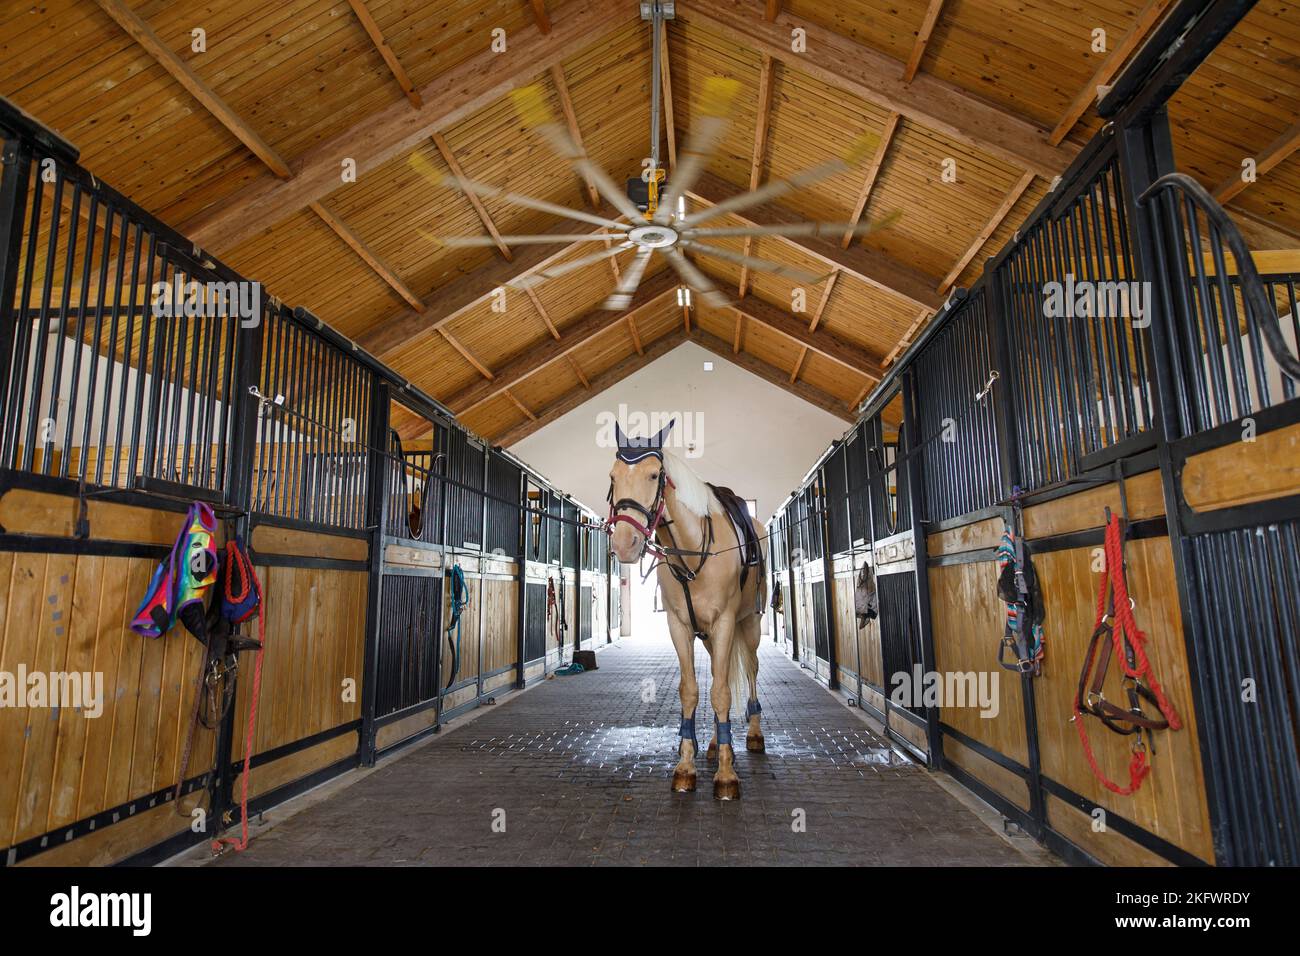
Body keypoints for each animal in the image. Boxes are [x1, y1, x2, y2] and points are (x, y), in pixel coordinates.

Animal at [606, 420, 767, 800]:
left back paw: (754, 734)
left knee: (751, 670)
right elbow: (692, 690)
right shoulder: (680, 627)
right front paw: (686, 767)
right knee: (719, 676)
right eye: (613, 476)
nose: (624, 544)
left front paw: (726, 776)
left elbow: (722, 692)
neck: (693, 551)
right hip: (707, 635)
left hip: (749, 623)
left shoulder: (725, 623)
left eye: (654, 475)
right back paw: (715, 743)